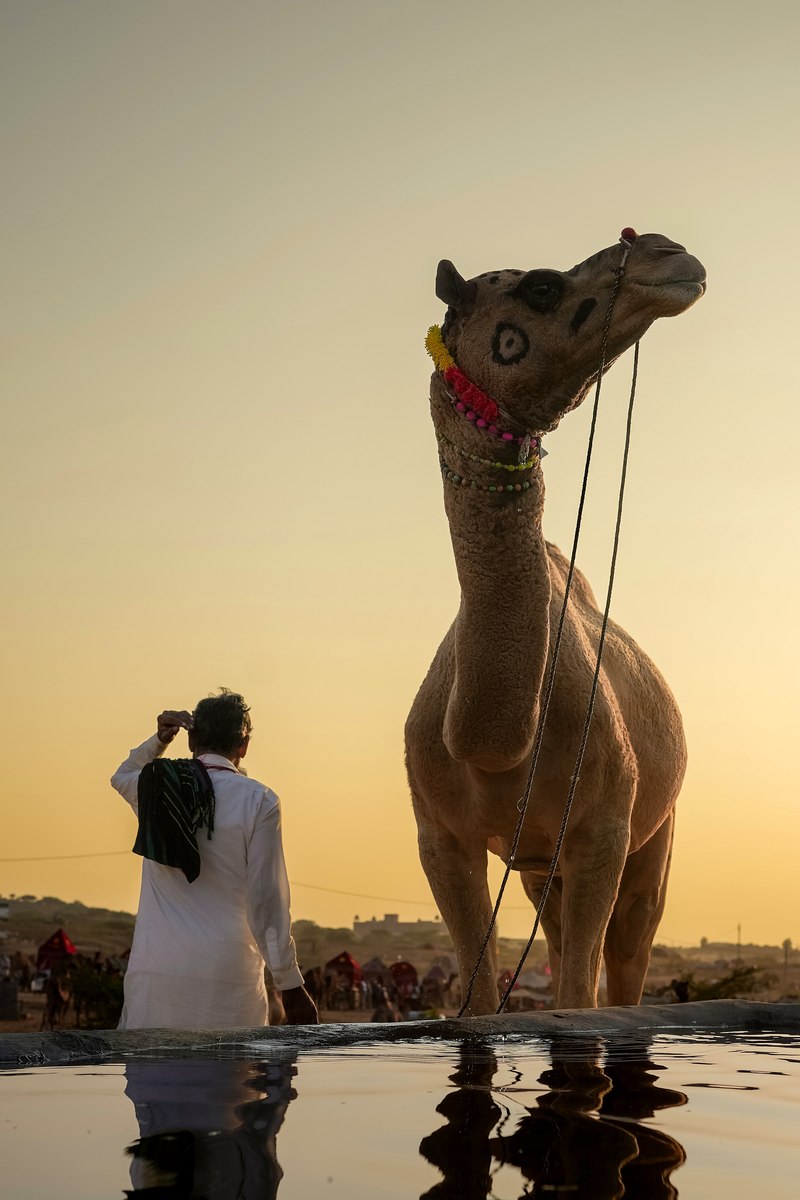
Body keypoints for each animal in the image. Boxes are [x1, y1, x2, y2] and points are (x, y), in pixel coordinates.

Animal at [405, 231, 706, 1013]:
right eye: (539, 285)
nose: (668, 251)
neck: (492, 737)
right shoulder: (438, 836)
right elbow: (479, 997)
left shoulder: (602, 827)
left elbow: (578, 996)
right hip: (541, 863)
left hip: (654, 833)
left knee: (626, 954)